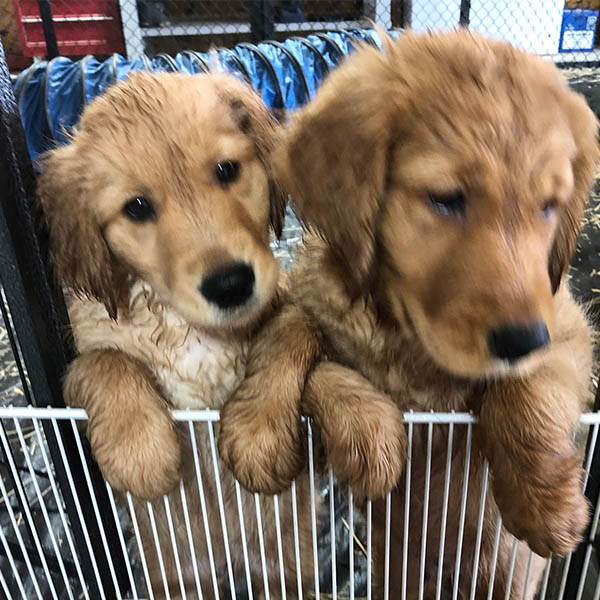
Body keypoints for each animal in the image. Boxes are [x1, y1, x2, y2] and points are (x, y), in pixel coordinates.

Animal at [218, 32, 596, 600]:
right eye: (446, 199)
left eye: (548, 207)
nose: (521, 338)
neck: (410, 339)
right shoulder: (324, 301)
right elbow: (294, 333)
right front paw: (265, 429)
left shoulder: (564, 325)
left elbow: (528, 387)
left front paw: (546, 502)